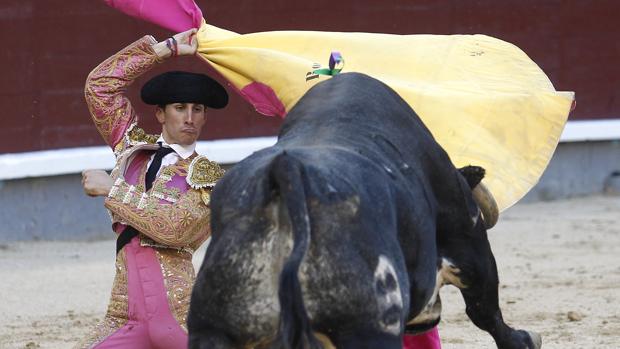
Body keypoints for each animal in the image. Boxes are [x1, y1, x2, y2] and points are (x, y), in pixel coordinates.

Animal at [189, 72, 544, 346]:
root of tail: (287, 170)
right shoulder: (468, 238)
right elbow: (485, 309)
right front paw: (525, 339)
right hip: (369, 328)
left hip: (213, 330)